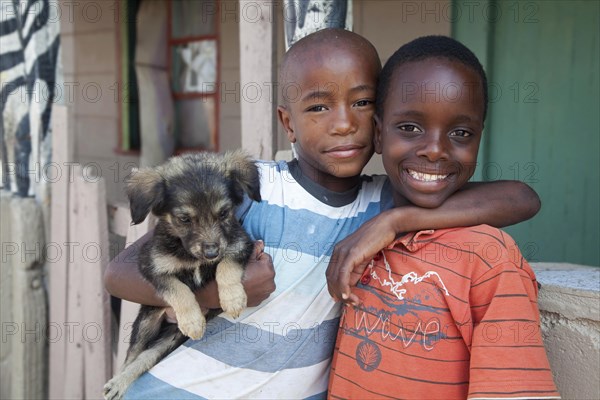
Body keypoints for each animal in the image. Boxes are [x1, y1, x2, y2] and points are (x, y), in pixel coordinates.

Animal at [102, 151, 260, 400]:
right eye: (184, 219)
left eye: (224, 213)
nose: (211, 253)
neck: (191, 256)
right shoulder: (152, 266)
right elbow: (179, 289)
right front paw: (193, 320)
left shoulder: (239, 244)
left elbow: (227, 267)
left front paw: (233, 299)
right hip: (146, 322)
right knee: (132, 357)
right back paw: (118, 383)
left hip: (169, 340)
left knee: (146, 357)